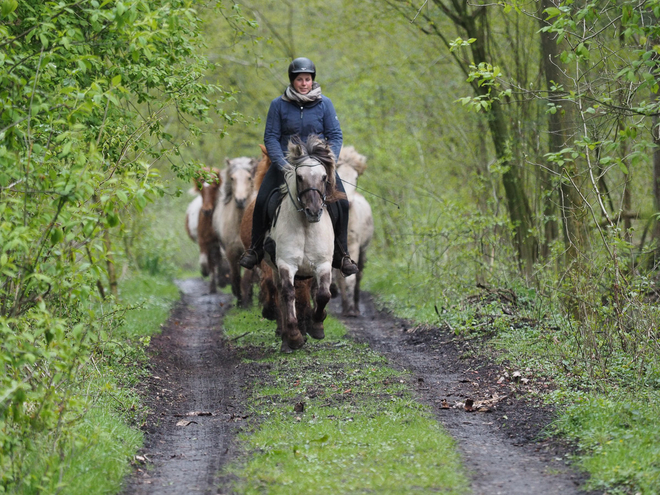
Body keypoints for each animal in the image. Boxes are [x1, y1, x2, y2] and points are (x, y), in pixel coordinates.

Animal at [266, 136, 342, 352]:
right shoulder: (286, 264)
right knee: (282, 295)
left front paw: (316, 326)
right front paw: (294, 337)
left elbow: (323, 295)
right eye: (300, 177)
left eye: (324, 177)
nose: (314, 211)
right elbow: (288, 294)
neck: (307, 227)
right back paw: (286, 340)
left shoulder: (323, 264)